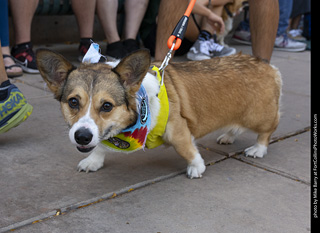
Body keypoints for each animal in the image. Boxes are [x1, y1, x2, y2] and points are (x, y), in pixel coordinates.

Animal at [36, 49, 282, 178]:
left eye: (106, 106)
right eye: (73, 102)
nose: (82, 137)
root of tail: (268, 65)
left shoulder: (178, 131)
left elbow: (187, 150)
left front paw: (196, 167)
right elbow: (101, 147)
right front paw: (92, 161)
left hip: (258, 117)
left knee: (267, 131)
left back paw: (258, 149)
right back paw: (229, 136)